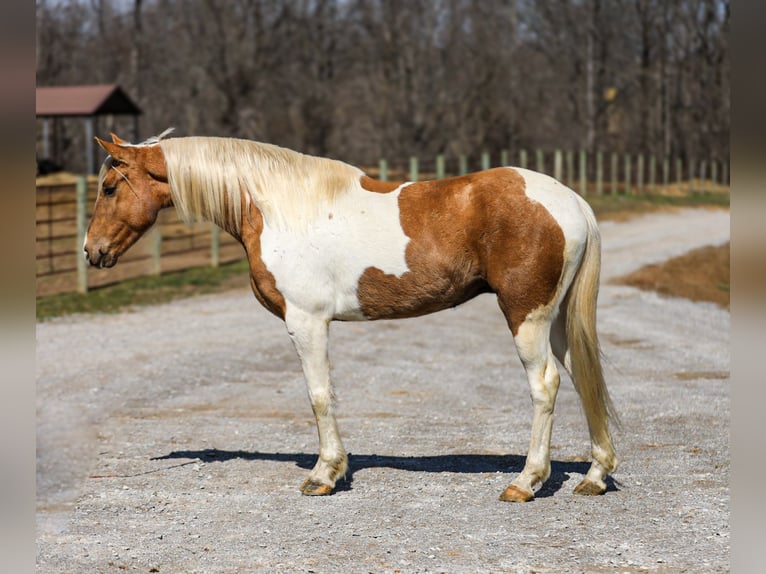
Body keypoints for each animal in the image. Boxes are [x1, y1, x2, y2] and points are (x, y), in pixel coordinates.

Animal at [84, 130, 618, 502]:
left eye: (109, 187)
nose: (92, 252)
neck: (278, 207)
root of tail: (571, 201)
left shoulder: (306, 322)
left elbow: (319, 397)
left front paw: (324, 475)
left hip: (526, 317)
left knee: (546, 385)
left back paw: (526, 482)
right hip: (557, 320)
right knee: (580, 375)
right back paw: (594, 475)